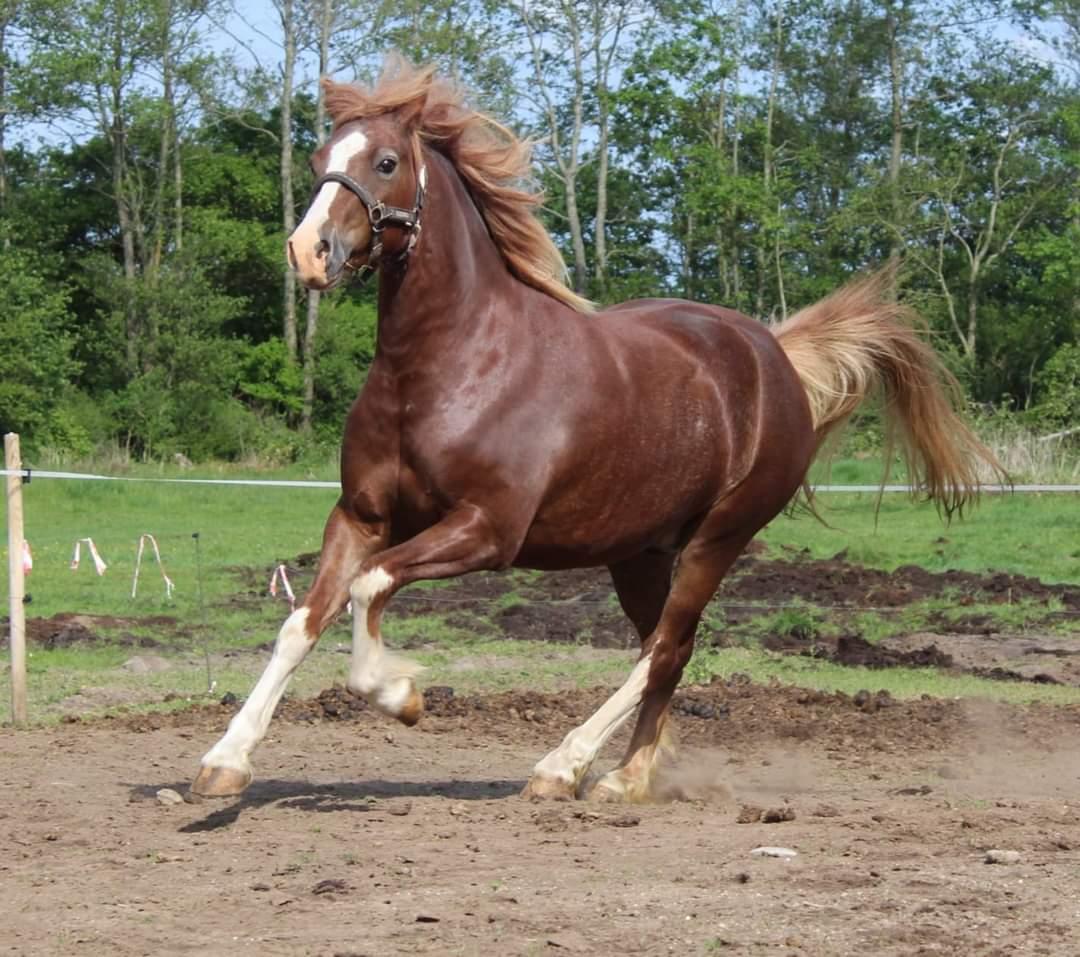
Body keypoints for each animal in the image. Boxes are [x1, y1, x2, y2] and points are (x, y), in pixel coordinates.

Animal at [191, 58, 999, 804]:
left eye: (385, 162)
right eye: (320, 158)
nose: (308, 251)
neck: (445, 367)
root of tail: (772, 354)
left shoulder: (487, 530)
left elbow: (368, 587)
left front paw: (403, 695)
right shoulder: (360, 516)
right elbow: (302, 621)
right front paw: (226, 761)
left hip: (717, 538)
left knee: (666, 646)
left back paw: (567, 767)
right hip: (638, 553)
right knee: (668, 647)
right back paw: (629, 775)